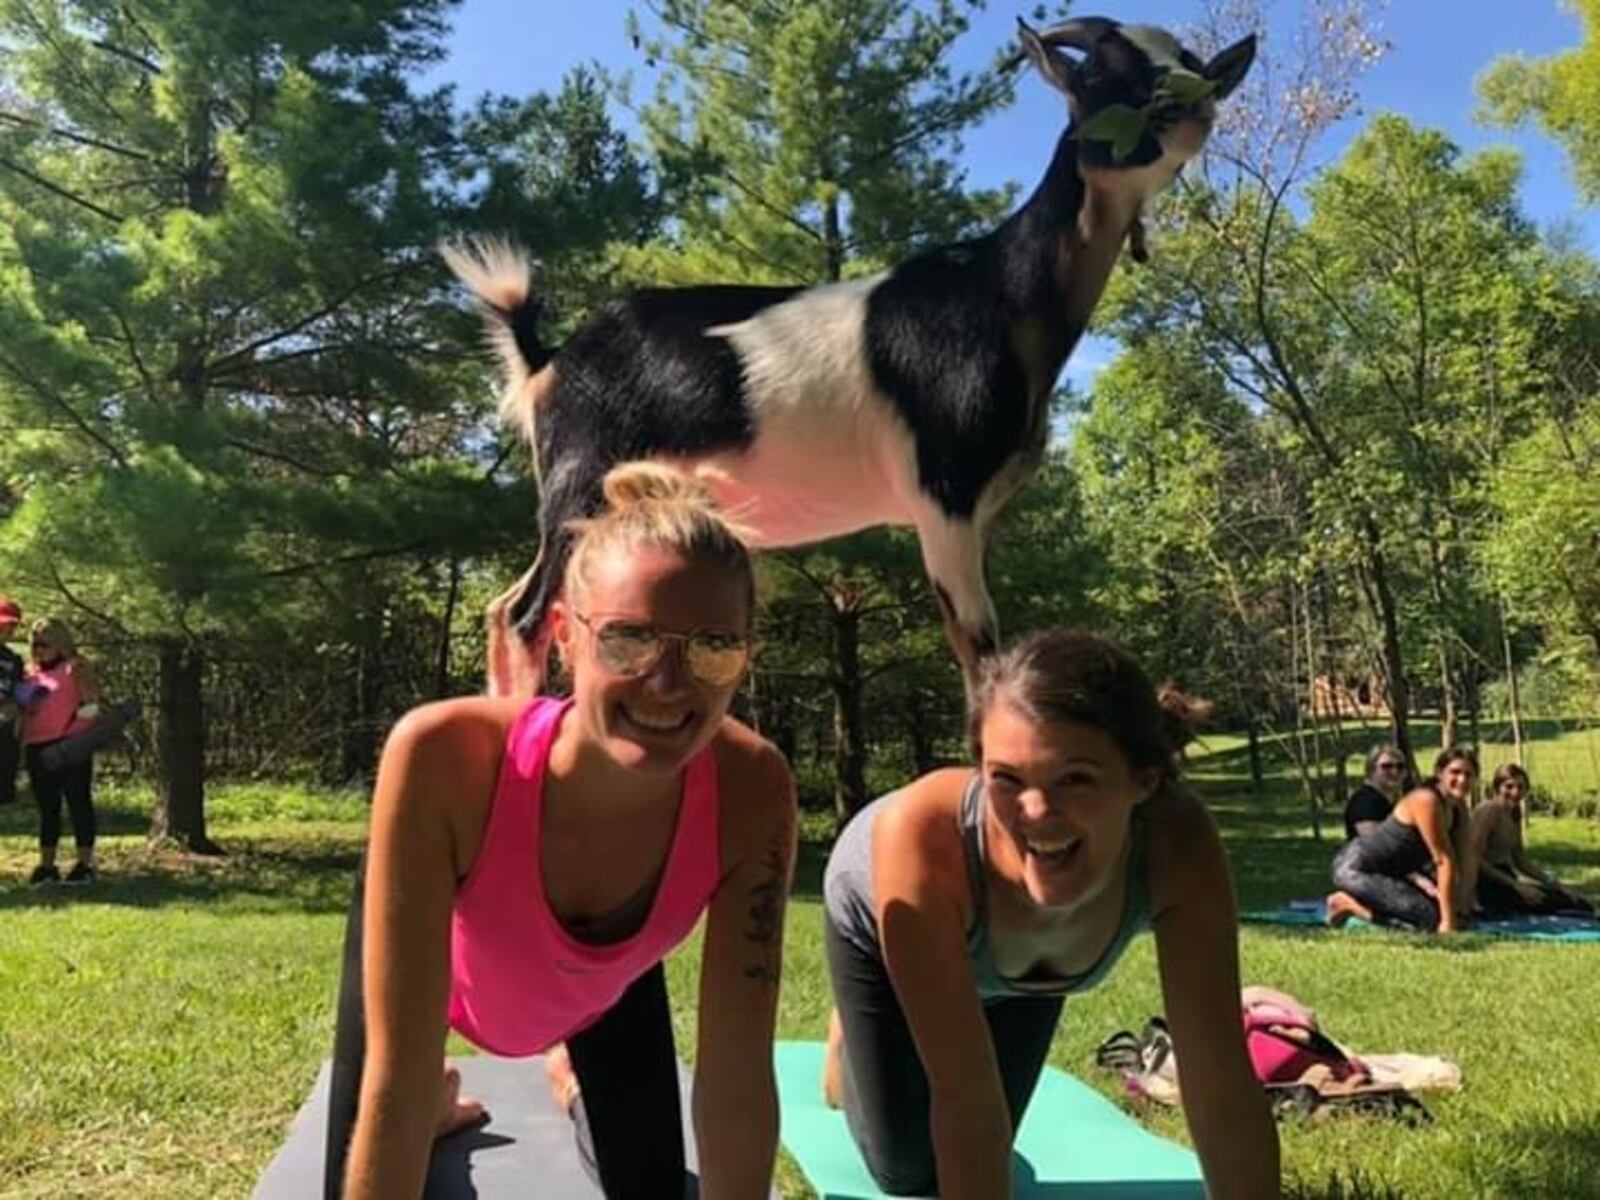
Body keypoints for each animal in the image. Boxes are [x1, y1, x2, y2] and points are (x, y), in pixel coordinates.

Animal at [444, 16, 1254, 694]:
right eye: (1100, 79)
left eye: (1185, 60)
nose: (1192, 100)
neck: (999, 288)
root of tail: (546, 358)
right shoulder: (943, 496)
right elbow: (979, 648)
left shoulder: (981, 509)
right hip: (579, 479)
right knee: (527, 616)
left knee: (505, 609)